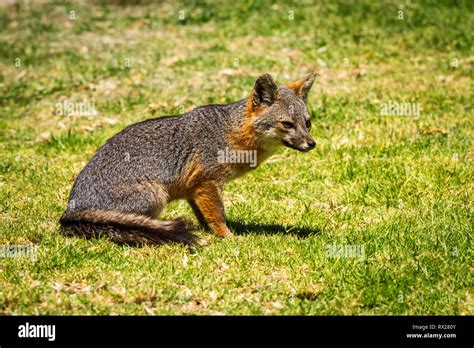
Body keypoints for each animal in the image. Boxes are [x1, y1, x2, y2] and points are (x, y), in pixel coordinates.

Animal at [60, 72, 318, 245]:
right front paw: (228, 237)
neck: (231, 133)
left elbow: (206, 216)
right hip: (156, 194)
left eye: (307, 123)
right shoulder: (208, 183)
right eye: (287, 124)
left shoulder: (195, 188)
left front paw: (209, 231)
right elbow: (218, 215)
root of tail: (70, 211)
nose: (311, 143)